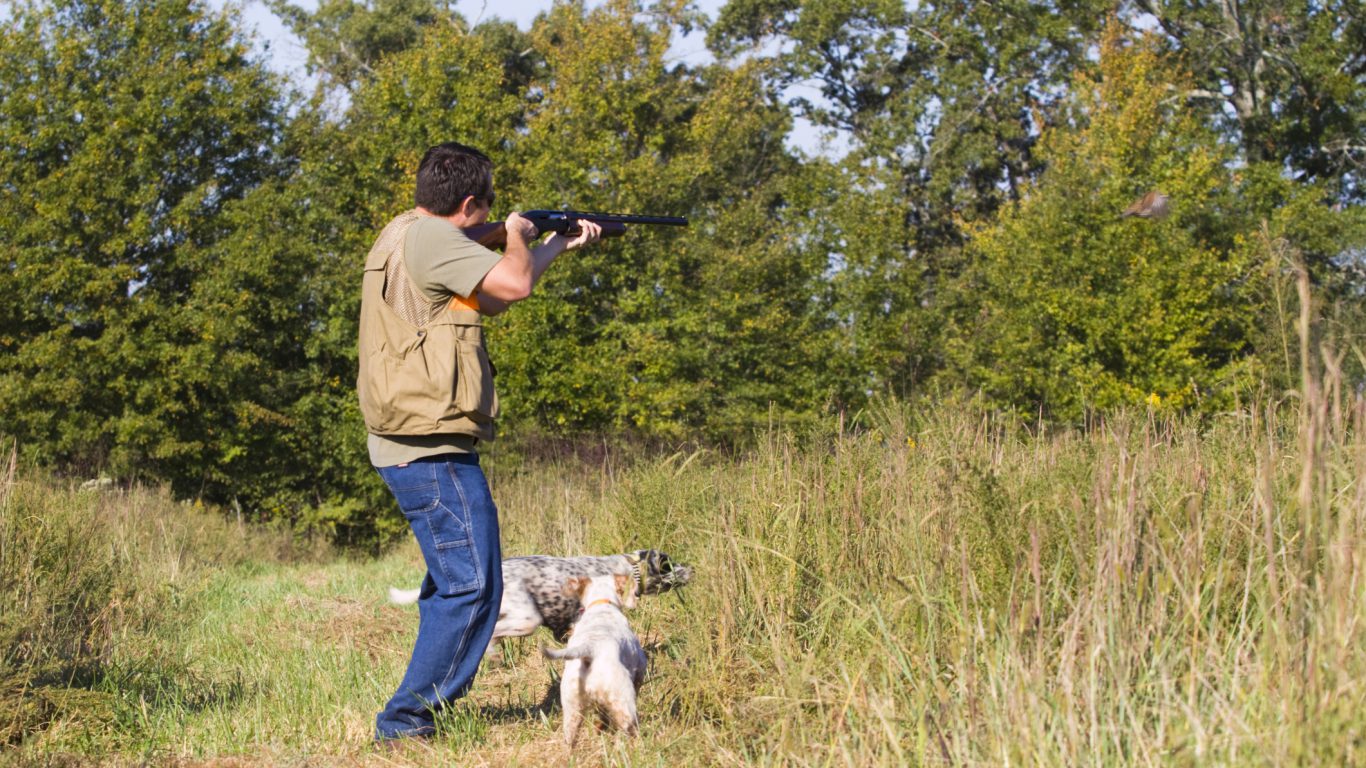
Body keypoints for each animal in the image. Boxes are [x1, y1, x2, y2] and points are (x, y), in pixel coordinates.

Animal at [540, 573, 647, 743]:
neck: (601, 605)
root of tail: (589, 649)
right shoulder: (641, 665)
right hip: (624, 701)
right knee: (627, 731)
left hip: (572, 709)